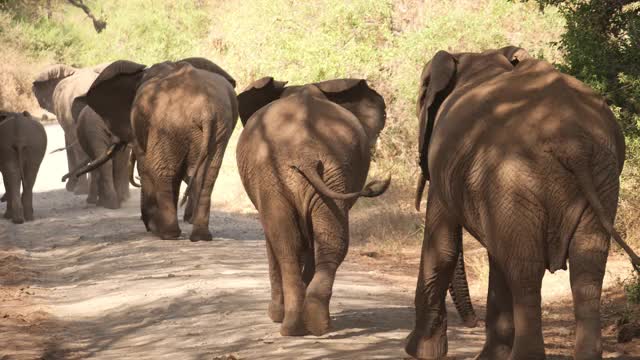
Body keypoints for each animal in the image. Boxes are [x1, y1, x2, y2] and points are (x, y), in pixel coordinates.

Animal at [72, 57, 238, 240]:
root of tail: (206, 110)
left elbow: (145, 166)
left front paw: (151, 226)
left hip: (167, 125)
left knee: (164, 170)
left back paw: (167, 234)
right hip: (219, 128)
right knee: (207, 174)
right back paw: (200, 237)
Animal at [238, 77, 392, 336]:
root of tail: (306, 153)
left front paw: (275, 315)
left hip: (283, 174)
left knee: (286, 244)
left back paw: (289, 324)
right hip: (328, 171)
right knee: (327, 240)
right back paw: (314, 323)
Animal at [404, 45, 640, 360]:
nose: (470, 322)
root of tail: (574, 143)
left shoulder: (444, 163)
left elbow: (442, 245)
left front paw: (418, 351)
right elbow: (494, 254)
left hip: (515, 171)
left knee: (525, 269)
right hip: (601, 175)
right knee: (586, 266)